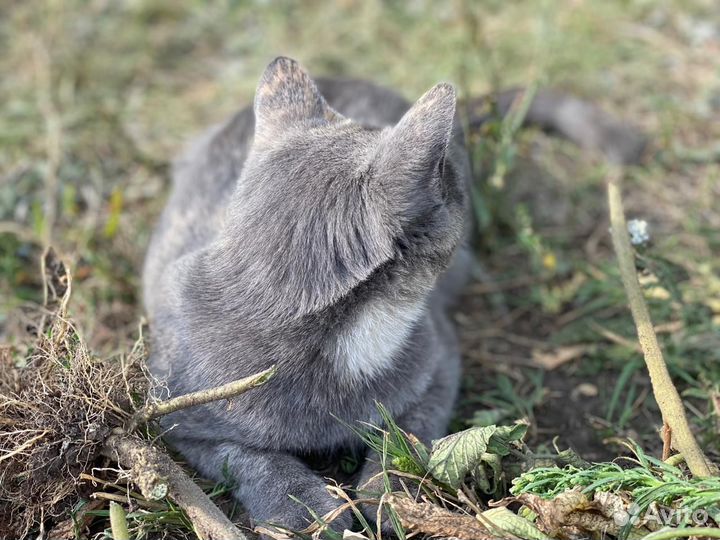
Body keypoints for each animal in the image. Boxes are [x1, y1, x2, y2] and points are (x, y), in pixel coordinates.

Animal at [145, 57, 472, 532]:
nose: (459, 173)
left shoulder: (441, 362)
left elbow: (410, 429)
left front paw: (390, 491)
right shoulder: (174, 416)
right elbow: (244, 457)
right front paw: (304, 506)